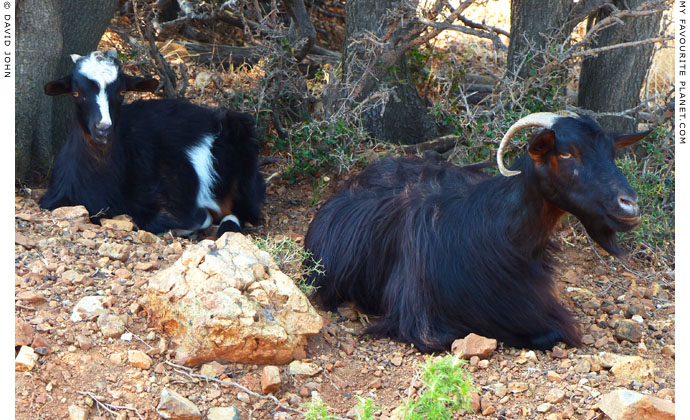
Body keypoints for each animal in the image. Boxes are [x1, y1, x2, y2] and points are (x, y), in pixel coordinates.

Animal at [304, 113, 648, 352]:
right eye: (566, 153)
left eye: (611, 153)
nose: (629, 204)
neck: (500, 233)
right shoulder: (423, 324)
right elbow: (549, 332)